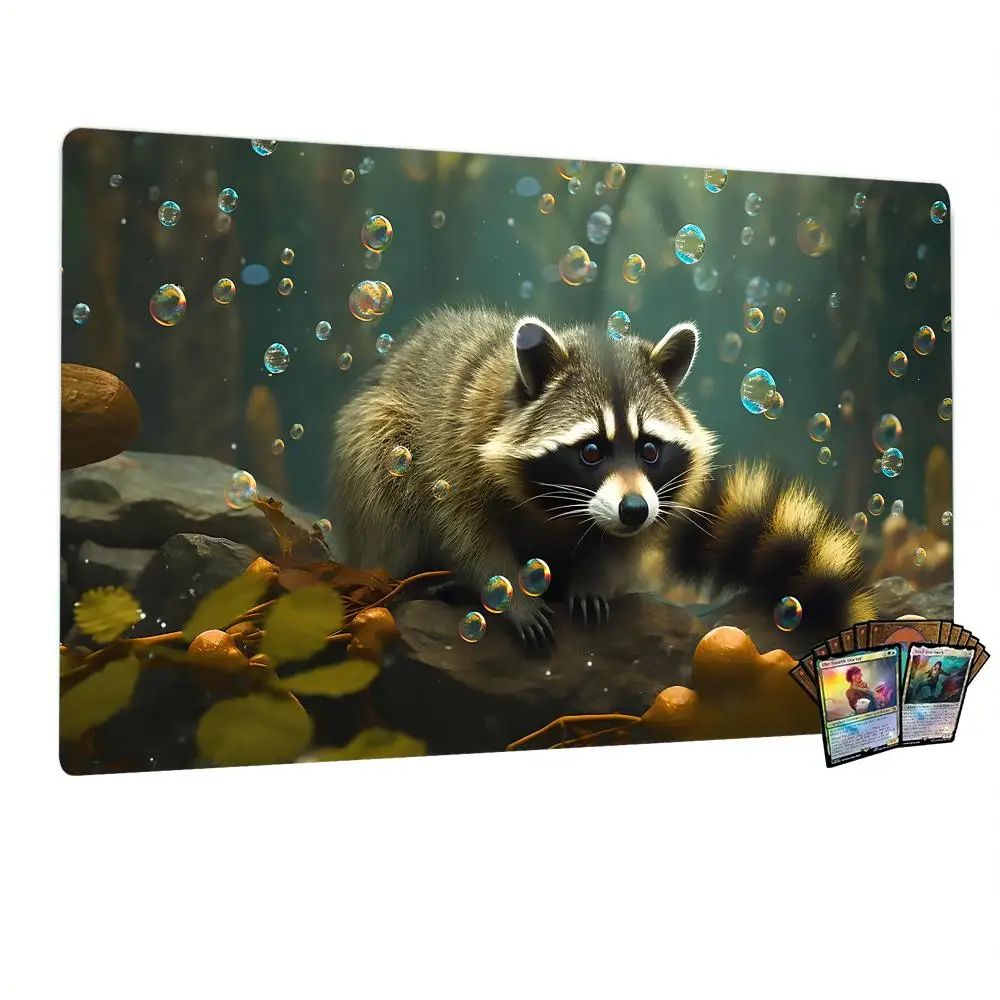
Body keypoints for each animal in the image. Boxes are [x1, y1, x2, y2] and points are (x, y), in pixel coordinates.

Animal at [331, 305, 876, 644]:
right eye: (591, 452)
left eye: (650, 450)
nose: (633, 510)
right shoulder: (455, 452)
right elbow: (465, 532)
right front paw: (509, 594)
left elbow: (621, 546)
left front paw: (593, 580)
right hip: (380, 440)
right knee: (382, 472)